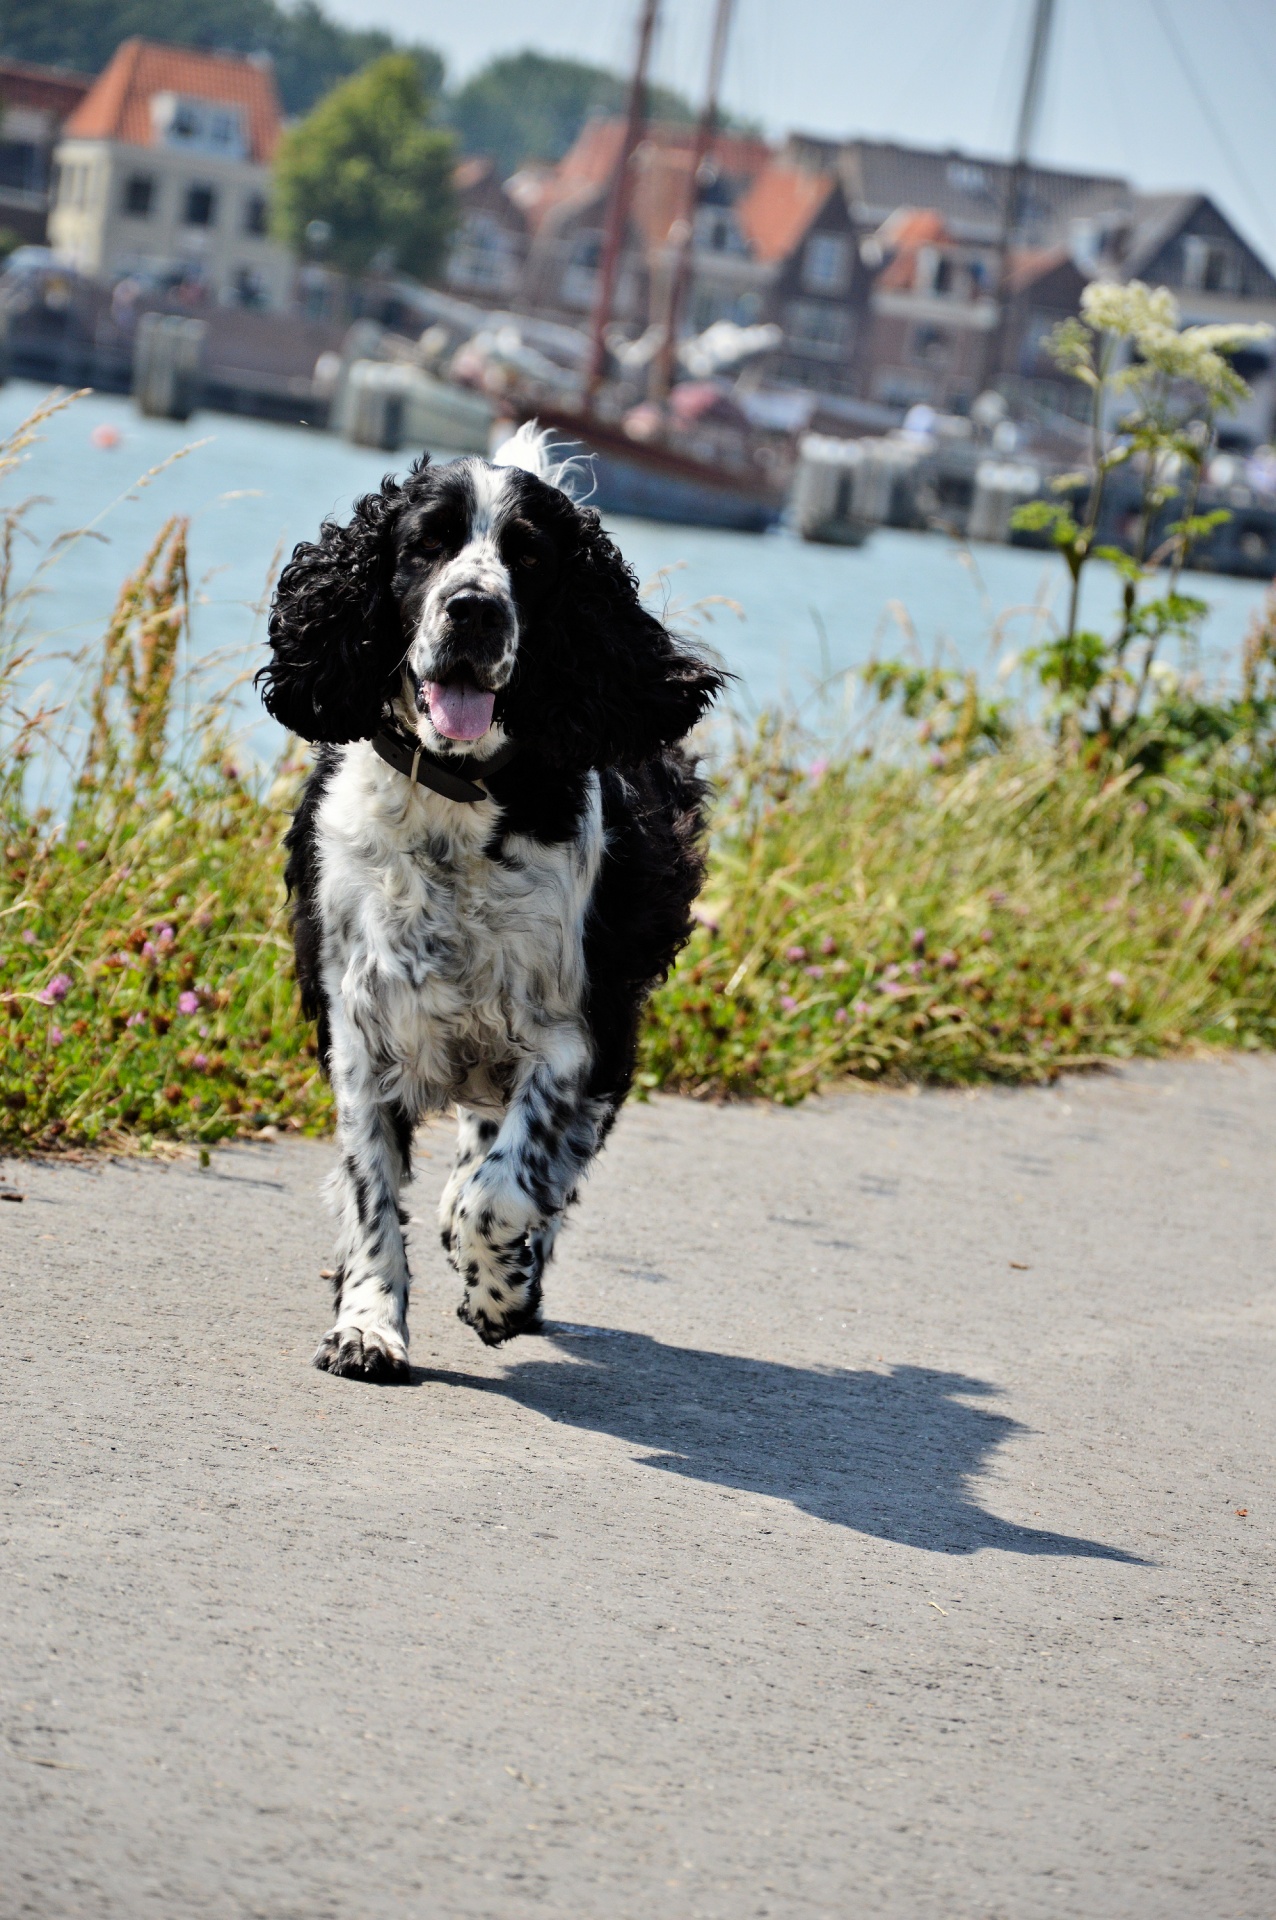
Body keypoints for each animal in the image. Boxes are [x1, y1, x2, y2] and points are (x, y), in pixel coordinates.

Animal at [257, 424, 725, 1382]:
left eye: (532, 557)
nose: (473, 609)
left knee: (517, 1167)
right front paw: (368, 1325)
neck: (456, 801)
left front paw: (499, 1287)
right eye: (425, 544)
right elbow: (371, 1190)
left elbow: (503, 1186)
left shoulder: (580, 1037)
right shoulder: (359, 1029)